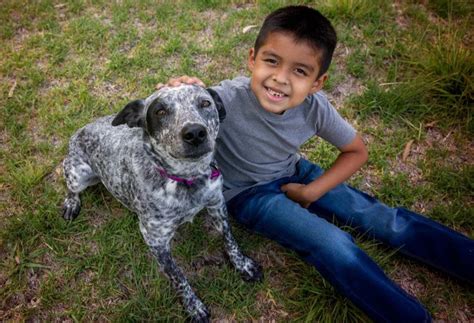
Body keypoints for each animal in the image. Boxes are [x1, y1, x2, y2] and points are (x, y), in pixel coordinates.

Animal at [61, 85, 262, 323]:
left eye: (205, 103)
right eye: (160, 111)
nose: (195, 133)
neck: (187, 178)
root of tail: (79, 130)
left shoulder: (217, 204)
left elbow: (230, 239)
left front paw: (243, 264)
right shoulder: (155, 240)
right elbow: (178, 277)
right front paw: (193, 306)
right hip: (79, 173)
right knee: (69, 183)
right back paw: (71, 202)